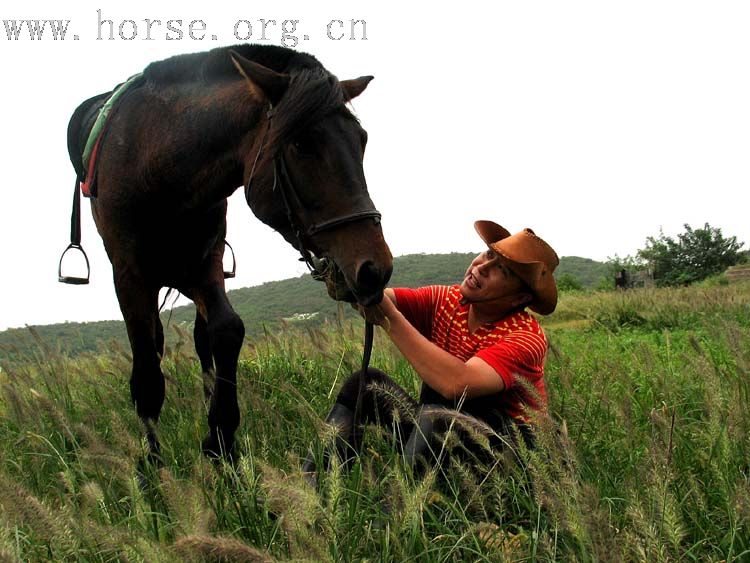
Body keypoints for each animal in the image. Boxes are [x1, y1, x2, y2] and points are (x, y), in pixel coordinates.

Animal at [66, 43, 394, 458]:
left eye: (361, 139)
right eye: (301, 145)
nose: (375, 269)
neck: (157, 164)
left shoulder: (207, 265)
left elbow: (226, 330)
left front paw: (220, 440)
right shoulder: (129, 275)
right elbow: (146, 373)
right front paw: (151, 466)